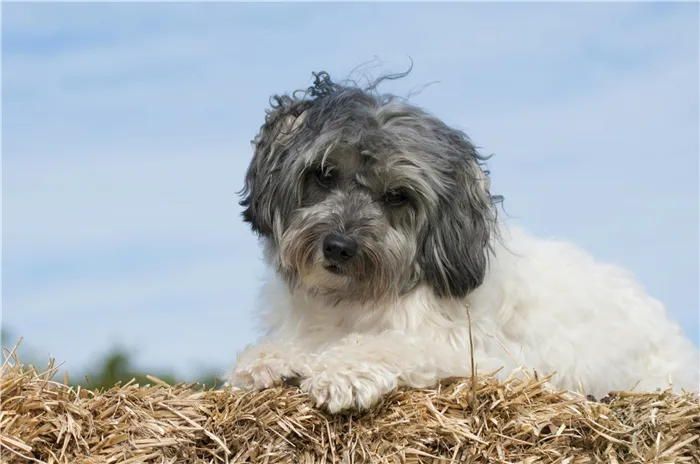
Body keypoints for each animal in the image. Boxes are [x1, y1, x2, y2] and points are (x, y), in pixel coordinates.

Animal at [226, 71, 700, 414]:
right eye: (324, 174)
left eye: (397, 195)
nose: (339, 247)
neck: (354, 303)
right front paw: (264, 361)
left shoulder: (484, 358)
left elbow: (398, 344)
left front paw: (341, 371)